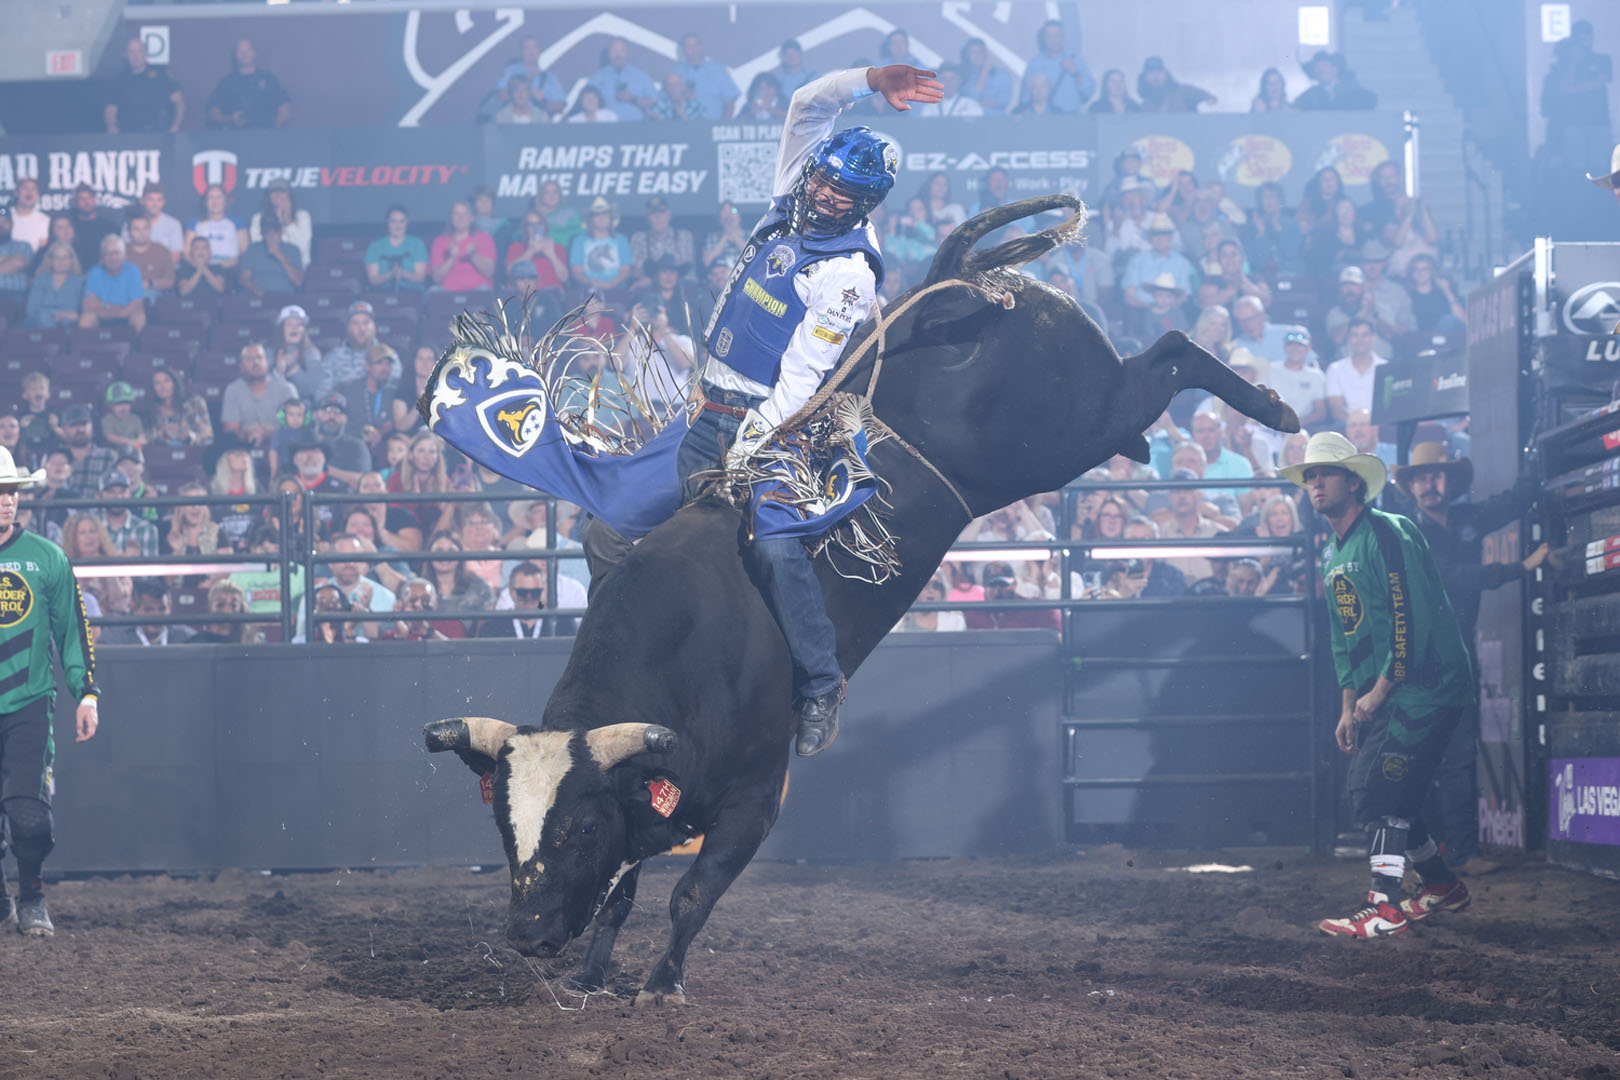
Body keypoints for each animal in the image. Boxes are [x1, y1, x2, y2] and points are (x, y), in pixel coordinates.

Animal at [425, 194, 1300, 1005]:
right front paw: (591, 976)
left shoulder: (754, 799)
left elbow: (689, 895)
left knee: (1173, 353)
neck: (684, 649)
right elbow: (621, 893)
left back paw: (1277, 409)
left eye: (577, 826)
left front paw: (662, 982)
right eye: (503, 825)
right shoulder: (650, 804)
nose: (528, 933)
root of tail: (954, 281)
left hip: (1075, 421)